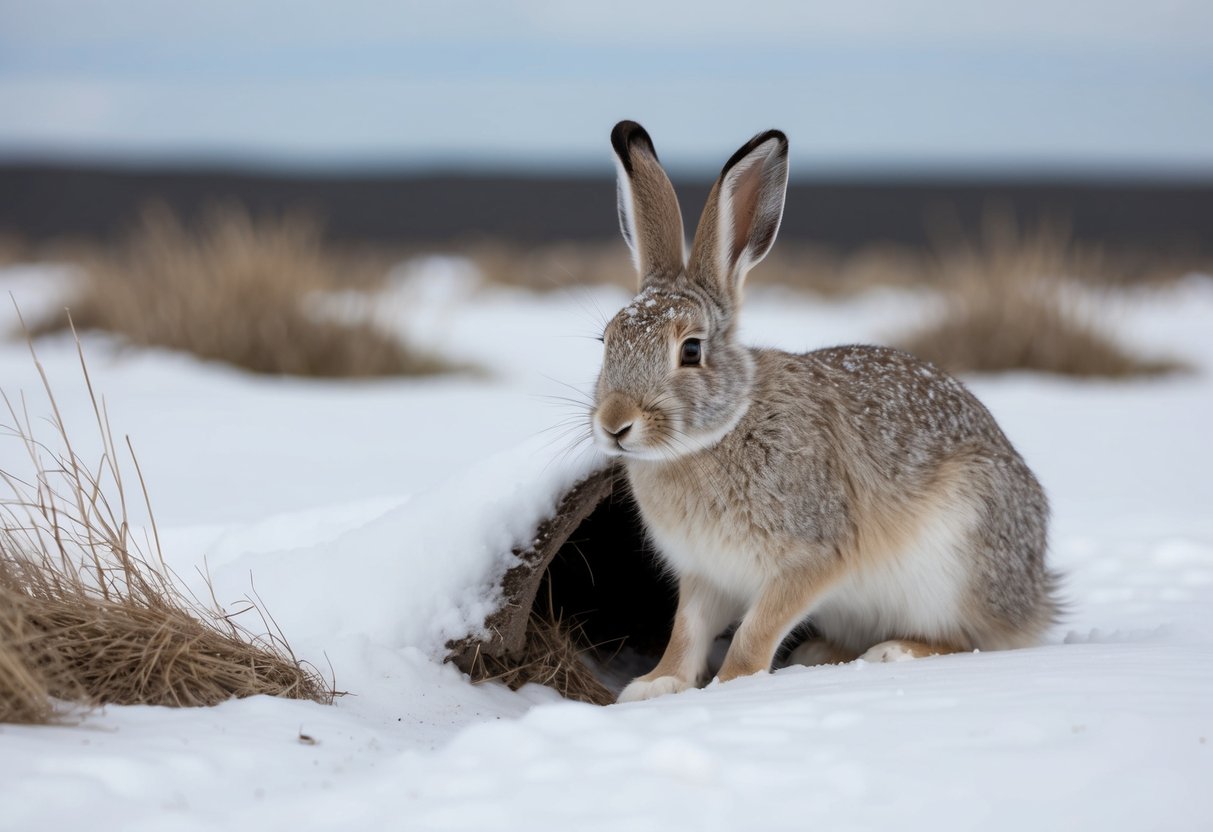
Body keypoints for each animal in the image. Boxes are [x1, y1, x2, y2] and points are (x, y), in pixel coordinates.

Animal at [591, 121, 1060, 704]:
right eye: (606, 341)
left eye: (692, 350)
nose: (614, 424)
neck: (716, 436)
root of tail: (1036, 595)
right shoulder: (704, 576)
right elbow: (686, 630)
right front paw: (654, 686)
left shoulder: (812, 555)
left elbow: (756, 628)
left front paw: (732, 685)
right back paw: (818, 654)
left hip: (956, 562)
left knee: (970, 639)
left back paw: (893, 652)